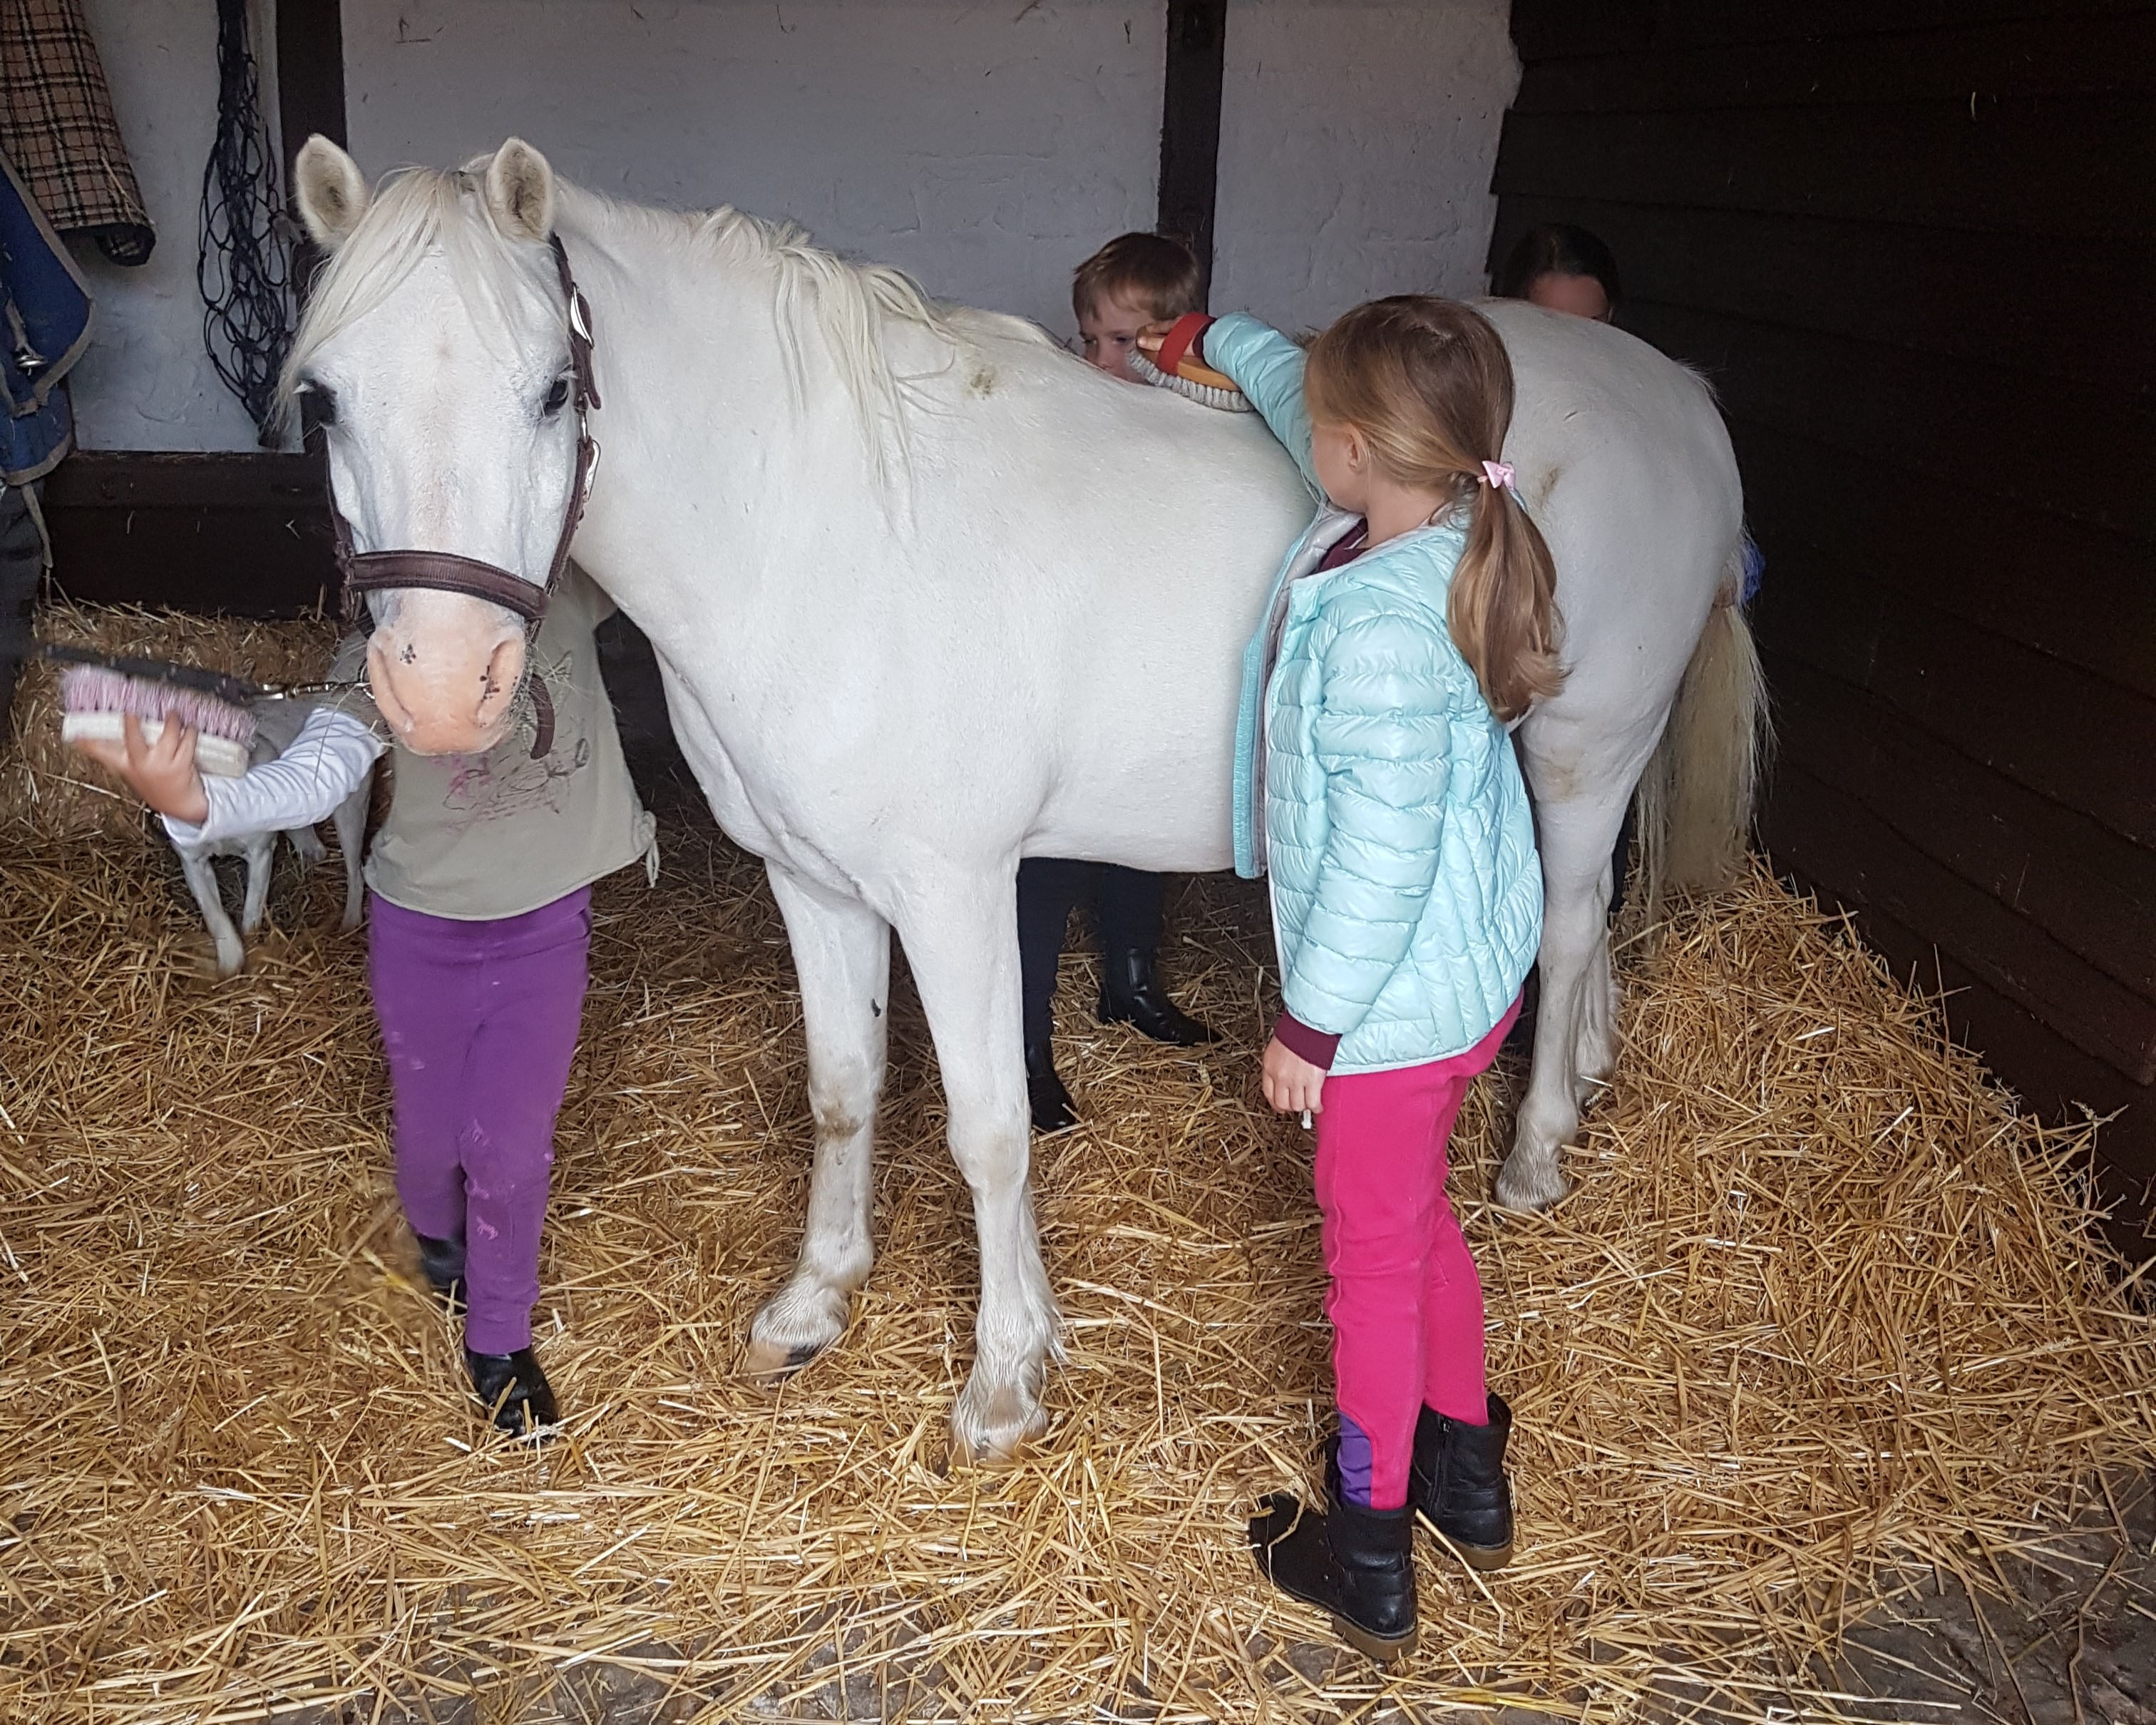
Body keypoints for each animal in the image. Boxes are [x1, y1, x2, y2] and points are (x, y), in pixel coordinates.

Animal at [287, 135, 1762, 1462]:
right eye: (325, 403)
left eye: (550, 390)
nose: (438, 687)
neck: (820, 529)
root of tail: (1677, 393)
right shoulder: (811, 881)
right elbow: (841, 1088)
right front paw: (813, 1300)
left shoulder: (952, 892)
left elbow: (987, 1128)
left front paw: (1003, 1378)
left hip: (1581, 752)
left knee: (1566, 927)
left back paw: (1534, 1154)